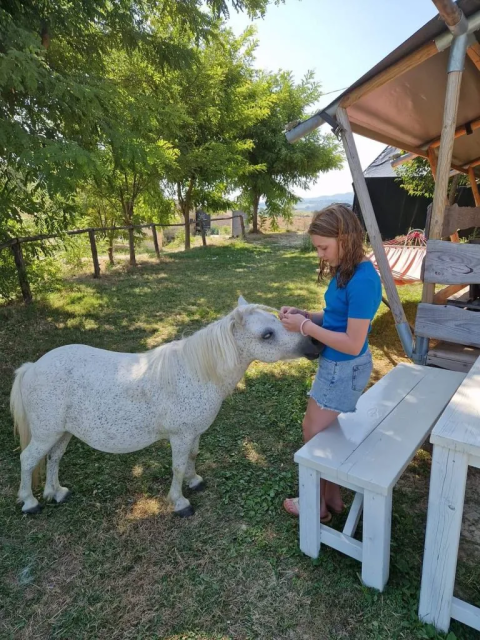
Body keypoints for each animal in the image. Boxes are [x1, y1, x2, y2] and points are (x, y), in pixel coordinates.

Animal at [11, 296, 322, 517]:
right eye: (267, 334)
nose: (314, 345)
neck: (196, 373)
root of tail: (32, 367)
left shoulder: (194, 433)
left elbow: (193, 458)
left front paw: (195, 481)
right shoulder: (180, 435)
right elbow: (178, 467)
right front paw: (180, 502)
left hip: (61, 432)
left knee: (53, 458)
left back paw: (56, 492)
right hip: (46, 433)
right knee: (28, 460)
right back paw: (30, 502)